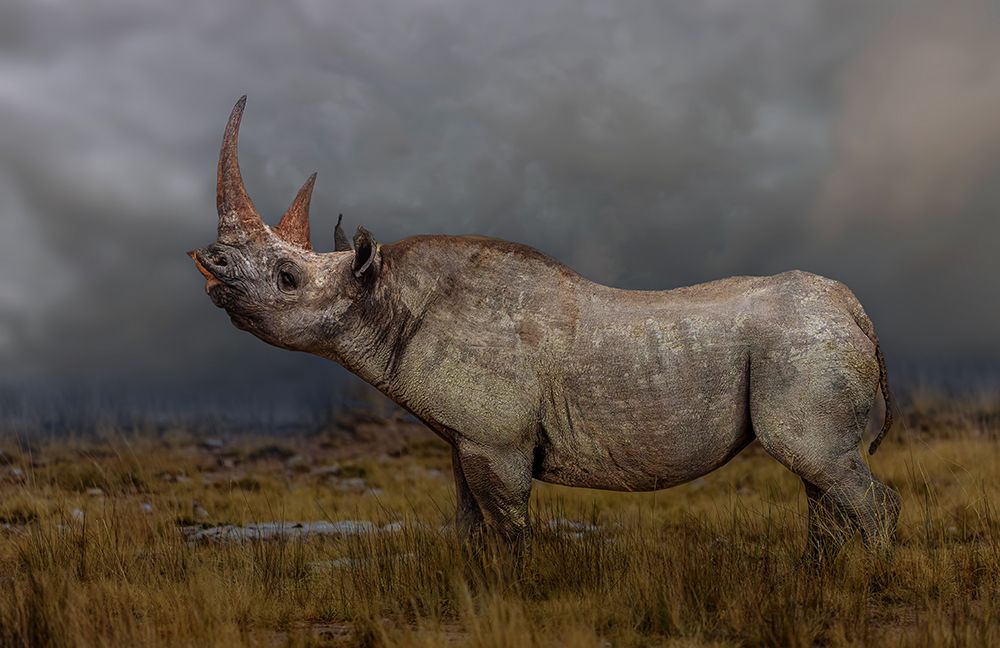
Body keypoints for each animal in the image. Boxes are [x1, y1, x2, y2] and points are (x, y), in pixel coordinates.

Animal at [190, 97, 900, 559]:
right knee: (819, 478)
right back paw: (820, 574)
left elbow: (508, 527)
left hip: (803, 345)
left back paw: (869, 579)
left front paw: (515, 589)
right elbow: (469, 525)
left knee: (822, 465)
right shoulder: (466, 436)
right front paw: (474, 585)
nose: (211, 269)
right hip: (807, 341)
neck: (383, 296)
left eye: (287, 279)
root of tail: (857, 310)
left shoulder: (497, 439)